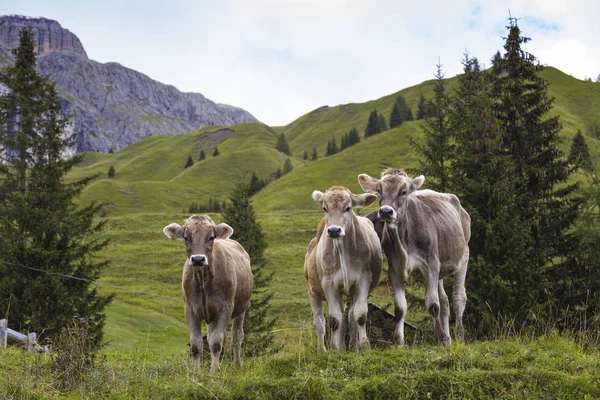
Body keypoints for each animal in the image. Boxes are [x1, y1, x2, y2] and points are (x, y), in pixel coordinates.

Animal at [163, 216, 252, 376]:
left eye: (211, 237)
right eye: (186, 237)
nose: (198, 259)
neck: (203, 280)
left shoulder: (225, 308)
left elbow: (217, 342)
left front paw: (213, 373)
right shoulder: (190, 308)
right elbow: (196, 344)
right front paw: (195, 373)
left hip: (242, 308)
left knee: (237, 336)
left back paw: (237, 365)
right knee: (210, 337)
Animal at [358, 170, 472, 346]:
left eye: (403, 191)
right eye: (379, 190)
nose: (386, 211)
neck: (403, 242)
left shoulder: (431, 264)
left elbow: (433, 305)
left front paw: (441, 340)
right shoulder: (395, 269)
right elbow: (400, 308)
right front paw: (398, 342)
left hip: (463, 256)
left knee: (458, 297)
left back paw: (459, 337)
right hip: (440, 270)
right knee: (445, 301)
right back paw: (449, 337)